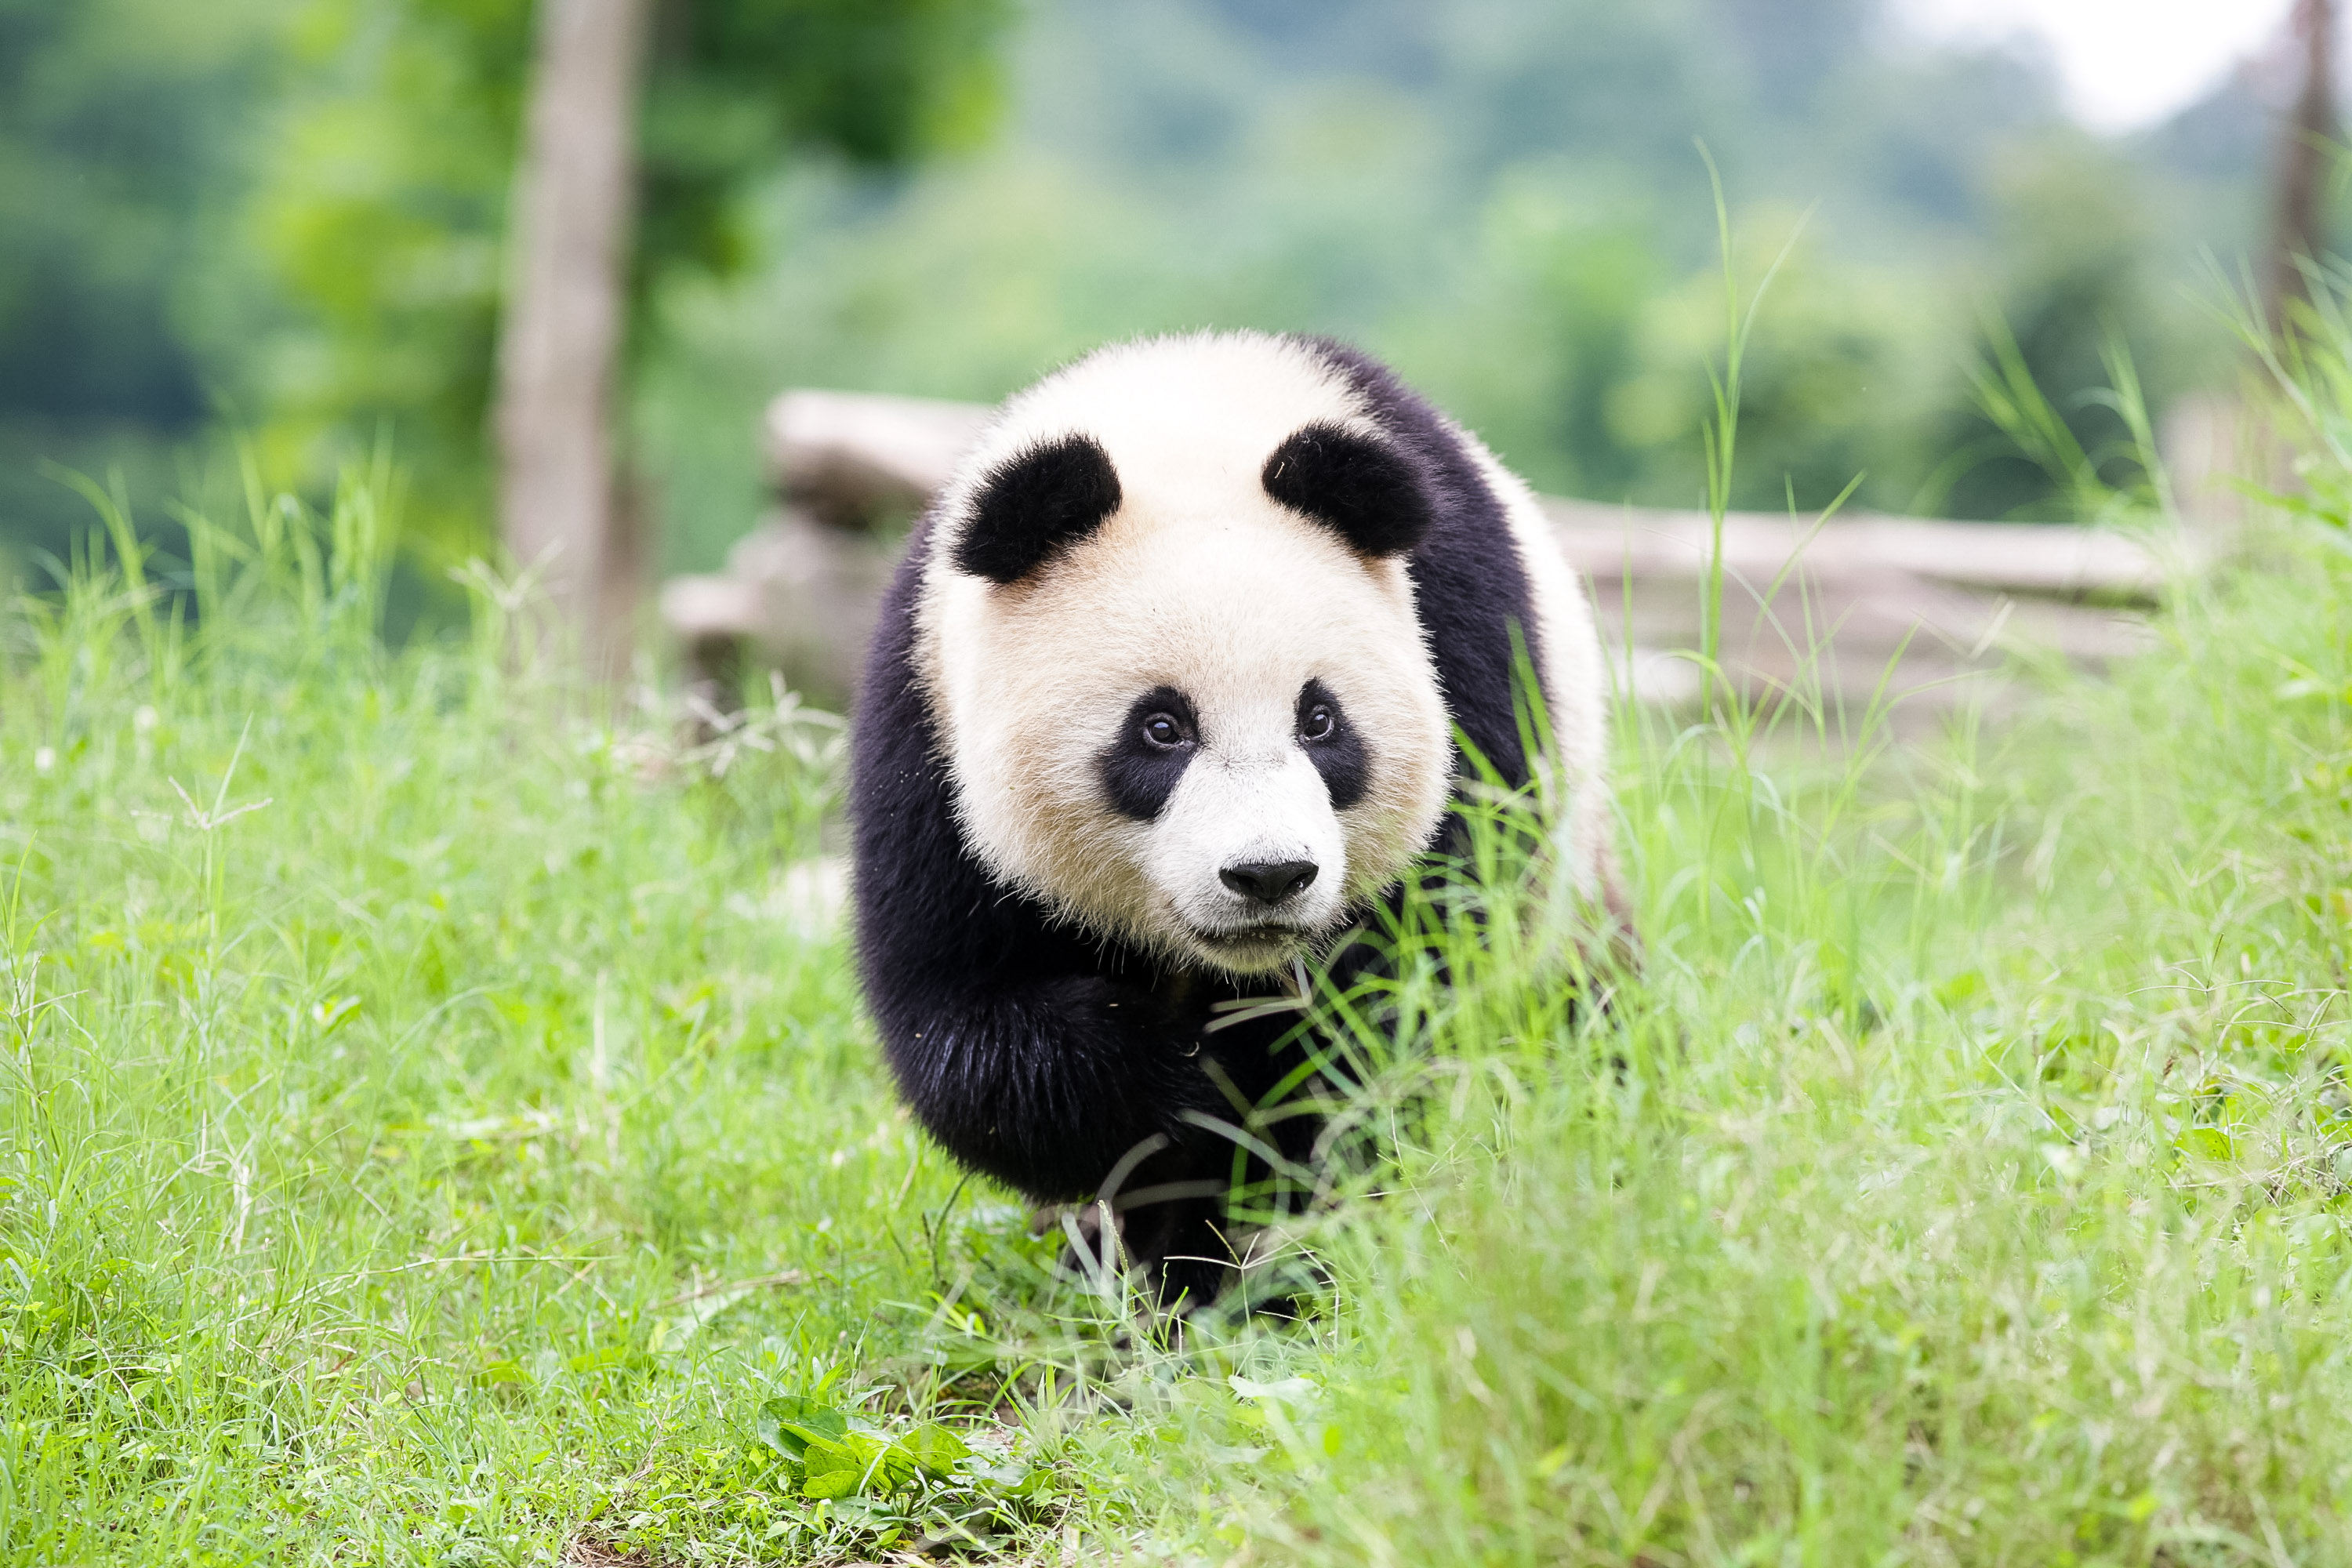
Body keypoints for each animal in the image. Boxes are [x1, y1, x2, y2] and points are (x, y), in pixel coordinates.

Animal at [848, 330, 1619, 1313]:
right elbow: (966, 1019)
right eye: (1160, 728)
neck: (1187, 428)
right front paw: (1173, 1090)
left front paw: (1264, 1197)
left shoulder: (1466, 650)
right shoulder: (926, 727)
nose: (1269, 875)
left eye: (1319, 720)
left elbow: (1397, 982)